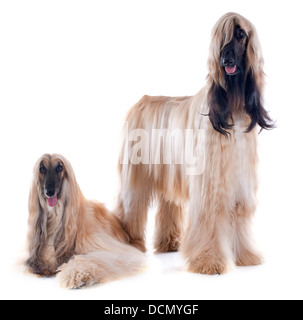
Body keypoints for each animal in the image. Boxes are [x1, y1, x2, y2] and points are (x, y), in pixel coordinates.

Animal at [25, 154, 145, 288]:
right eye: (42, 169)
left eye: (59, 167)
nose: (49, 192)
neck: (56, 217)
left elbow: (90, 258)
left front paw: (74, 275)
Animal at [117, 13, 274, 276]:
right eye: (220, 38)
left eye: (240, 34)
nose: (225, 59)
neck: (232, 103)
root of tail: (142, 101)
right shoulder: (210, 183)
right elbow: (210, 217)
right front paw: (209, 261)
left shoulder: (240, 179)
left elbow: (239, 213)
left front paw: (245, 256)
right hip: (135, 171)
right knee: (130, 204)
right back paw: (128, 242)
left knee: (168, 203)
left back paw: (170, 242)